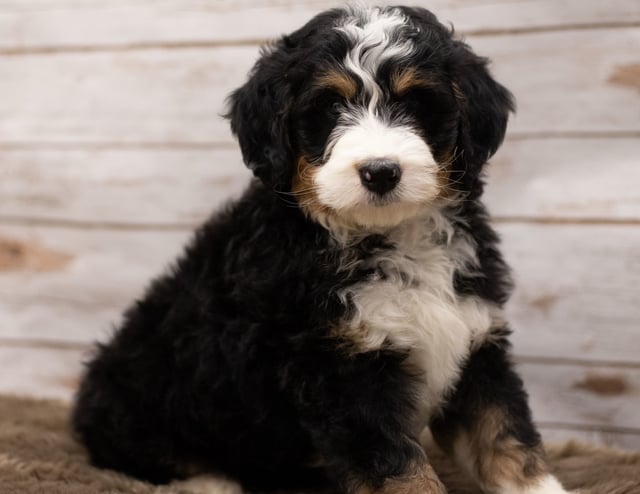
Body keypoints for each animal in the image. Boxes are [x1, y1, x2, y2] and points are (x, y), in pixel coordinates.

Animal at [74, 4, 568, 494]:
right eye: (331, 106)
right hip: (142, 393)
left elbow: (504, 435)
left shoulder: (476, 343)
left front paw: (537, 485)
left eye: (415, 104)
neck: (392, 236)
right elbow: (400, 468)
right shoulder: (341, 370)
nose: (380, 171)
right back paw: (211, 482)